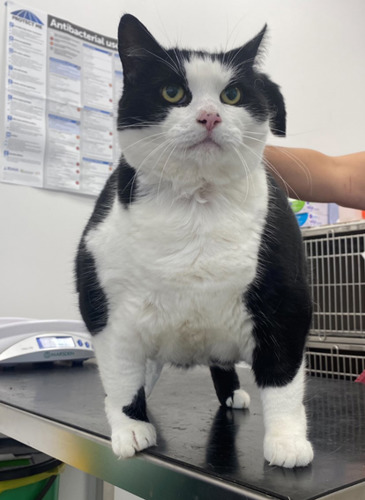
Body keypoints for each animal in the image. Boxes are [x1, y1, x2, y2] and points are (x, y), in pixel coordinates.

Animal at [74, 15, 312, 468]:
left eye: (231, 95)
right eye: (173, 92)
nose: (209, 116)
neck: (196, 204)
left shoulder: (284, 300)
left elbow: (283, 378)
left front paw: (287, 441)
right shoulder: (103, 305)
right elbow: (120, 375)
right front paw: (130, 427)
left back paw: (233, 392)